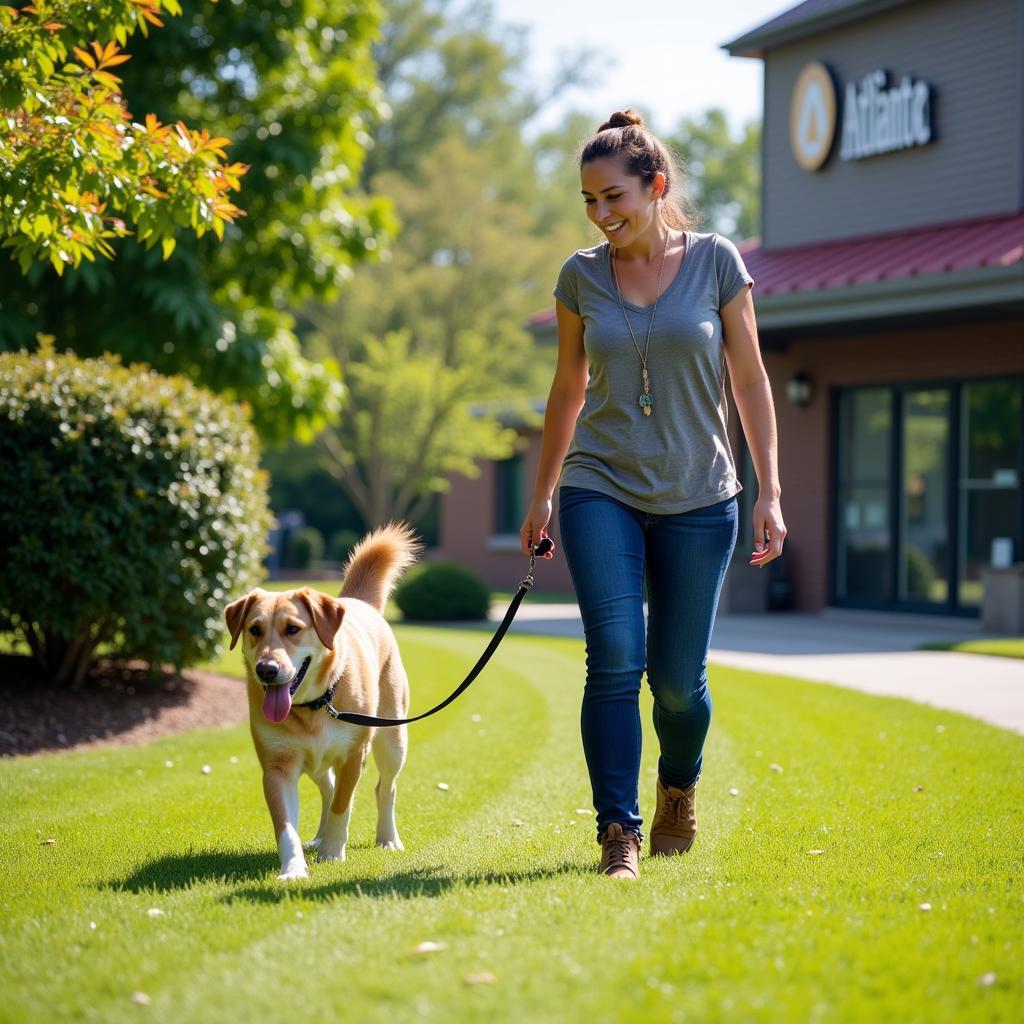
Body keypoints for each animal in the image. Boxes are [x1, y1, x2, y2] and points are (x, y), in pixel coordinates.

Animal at [223, 524, 419, 876]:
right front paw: (293, 868)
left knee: (384, 788)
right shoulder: (277, 766)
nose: (266, 669)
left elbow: (343, 804)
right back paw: (319, 836)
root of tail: (358, 602)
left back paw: (386, 838)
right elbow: (285, 825)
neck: (313, 706)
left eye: (292, 628)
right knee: (327, 786)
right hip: (315, 760)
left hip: (392, 739)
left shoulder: (354, 755)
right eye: (254, 629)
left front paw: (331, 852)